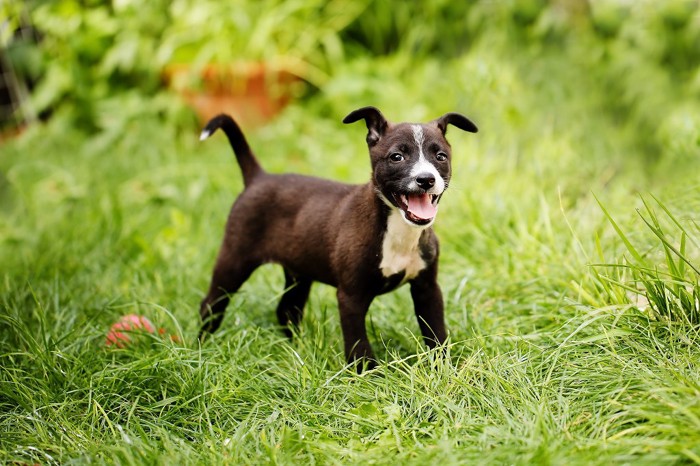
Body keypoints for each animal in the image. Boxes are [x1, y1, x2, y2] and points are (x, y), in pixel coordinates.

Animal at [200, 104, 478, 368]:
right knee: (211, 305)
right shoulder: (351, 296)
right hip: (234, 259)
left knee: (286, 310)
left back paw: (297, 350)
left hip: (299, 272)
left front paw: (443, 368)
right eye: (397, 157)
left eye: (440, 156)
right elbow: (358, 343)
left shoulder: (428, 288)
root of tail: (258, 177)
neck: (397, 228)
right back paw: (203, 348)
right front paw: (367, 375)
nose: (426, 179)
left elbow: (436, 333)